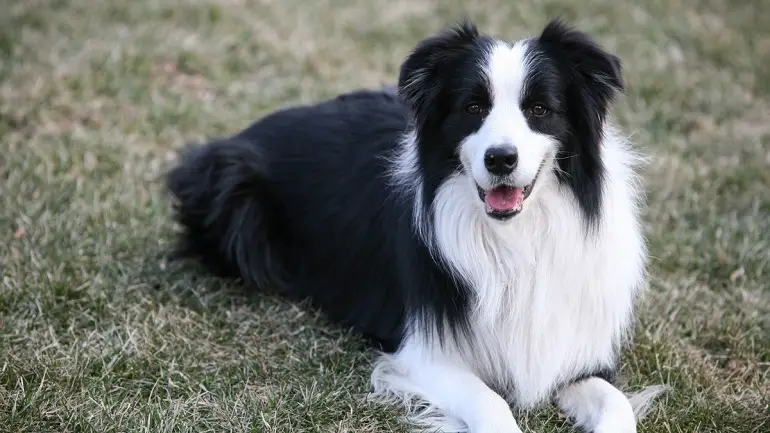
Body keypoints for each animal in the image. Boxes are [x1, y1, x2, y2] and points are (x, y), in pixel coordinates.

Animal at [166, 17, 660, 432]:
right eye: (473, 107)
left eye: (540, 109)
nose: (500, 159)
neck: (517, 236)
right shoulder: (423, 354)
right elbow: (492, 403)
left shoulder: (574, 352)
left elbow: (615, 402)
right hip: (233, 194)